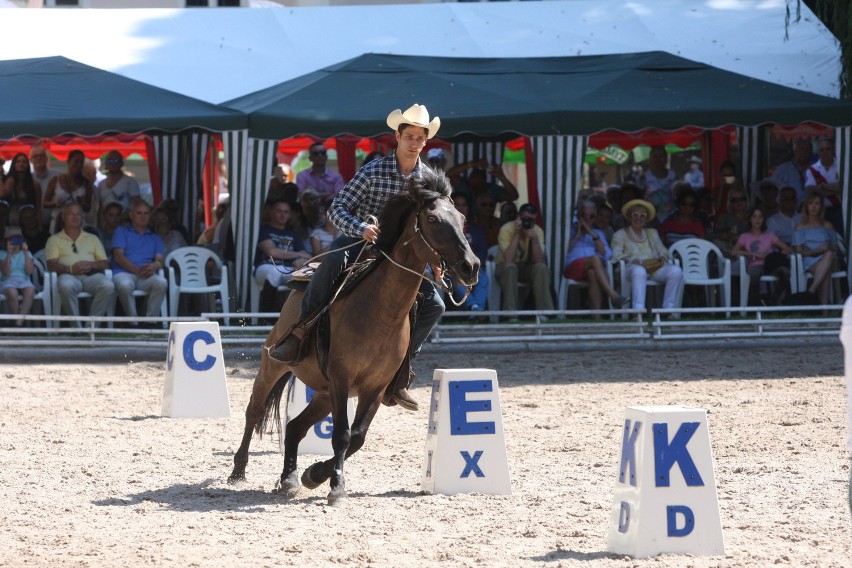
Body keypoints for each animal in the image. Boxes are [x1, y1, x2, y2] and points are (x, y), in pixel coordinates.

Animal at [226, 168, 480, 506]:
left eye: (462, 218)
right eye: (433, 219)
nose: (471, 266)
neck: (380, 313)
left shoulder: (374, 387)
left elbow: (356, 437)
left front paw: (315, 475)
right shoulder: (342, 377)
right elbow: (342, 435)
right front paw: (335, 486)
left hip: (323, 391)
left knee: (295, 427)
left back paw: (290, 478)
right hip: (275, 365)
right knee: (254, 411)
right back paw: (238, 470)